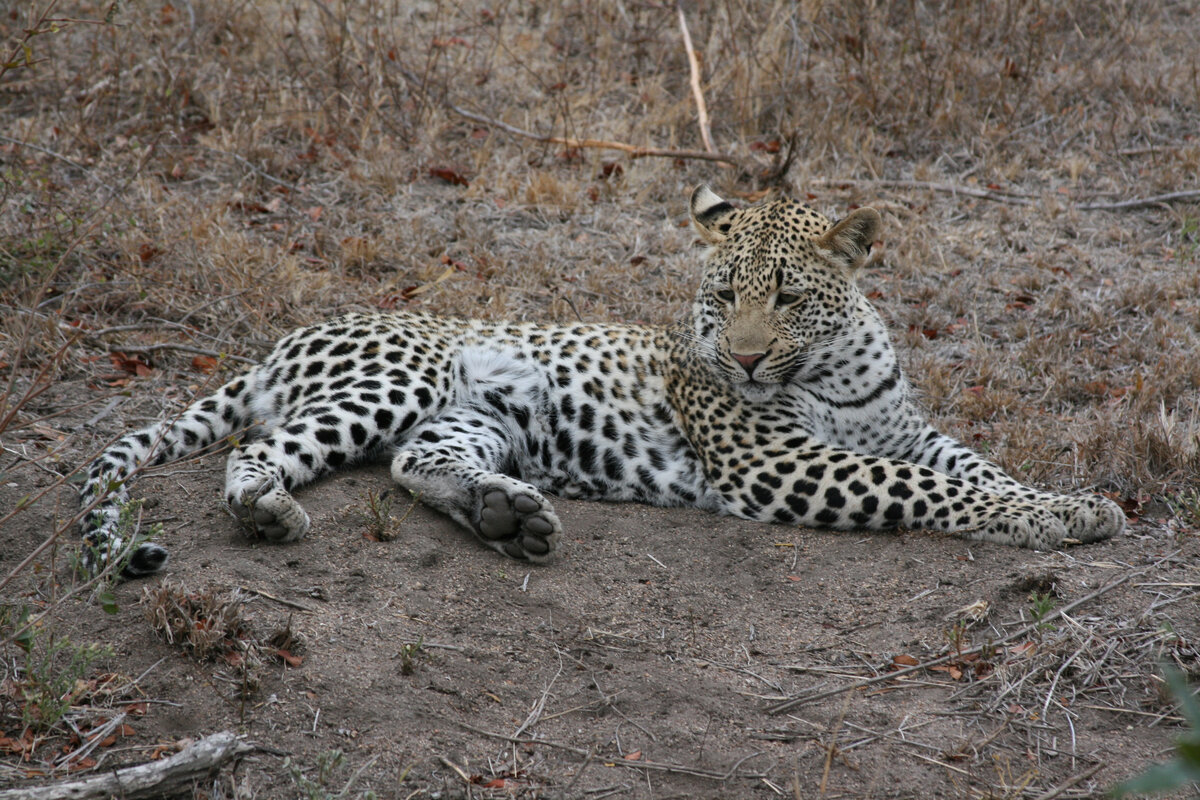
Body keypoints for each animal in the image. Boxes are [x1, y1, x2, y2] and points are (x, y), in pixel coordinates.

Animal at [75, 184, 1123, 578]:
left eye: (787, 297)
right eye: (724, 294)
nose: (745, 357)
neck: (839, 362)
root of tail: (285, 342)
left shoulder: (905, 431)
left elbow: (972, 467)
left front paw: (1071, 501)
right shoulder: (782, 463)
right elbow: (934, 489)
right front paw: (1061, 517)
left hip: (474, 421)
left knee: (415, 466)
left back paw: (508, 515)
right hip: (401, 376)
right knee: (261, 449)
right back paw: (265, 511)